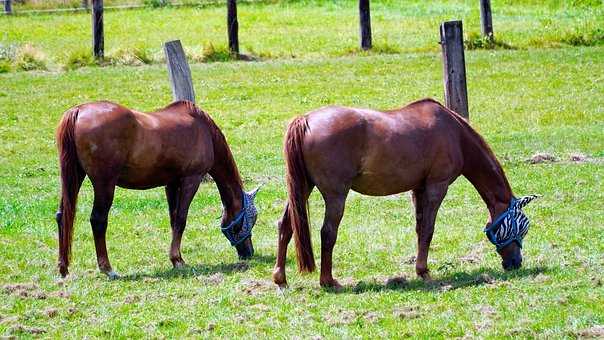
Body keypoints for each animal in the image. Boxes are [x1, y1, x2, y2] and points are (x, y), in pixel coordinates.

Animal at [53, 99, 258, 278]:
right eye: (250, 218)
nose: (249, 252)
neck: (203, 130)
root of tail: (78, 110)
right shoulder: (191, 180)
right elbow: (181, 219)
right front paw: (178, 260)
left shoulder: (171, 184)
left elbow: (173, 219)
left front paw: (175, 258)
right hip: (105, 185)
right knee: (98, 220)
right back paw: (107, 269)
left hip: (74, 178)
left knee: (62, 215)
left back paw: (63, 268)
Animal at [272, 98, 536, 290]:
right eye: (523, 225)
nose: (516, 263)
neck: (454, 133)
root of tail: (306, 119)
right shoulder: (436, 187)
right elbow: (428, 229)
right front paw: (424, 272)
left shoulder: (418, 189)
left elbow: (420, 229)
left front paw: (420, 269)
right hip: (336, 194)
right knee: (327, 233)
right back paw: (328, 281)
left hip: (302, 188)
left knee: (286, 226)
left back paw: (280, 278)